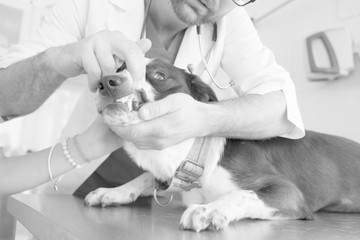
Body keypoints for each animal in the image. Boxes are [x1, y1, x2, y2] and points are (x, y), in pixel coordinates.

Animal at [83, 57, 360, 232]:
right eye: (120, 68)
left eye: (159, 76)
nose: (106, 81)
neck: (191, 155)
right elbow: (145, 177)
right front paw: (115, 191)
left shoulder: (288, 193)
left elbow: (240, 193)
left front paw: (209, 210)